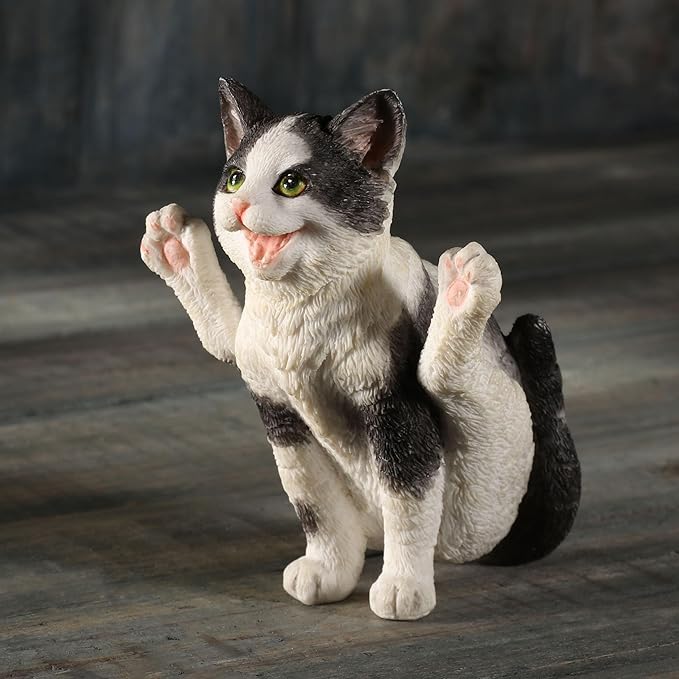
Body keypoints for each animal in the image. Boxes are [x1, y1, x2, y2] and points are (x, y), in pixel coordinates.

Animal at [141, 79, 580, 620]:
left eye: (291, 184)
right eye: (235, 178)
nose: (239, 208)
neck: (299, 310)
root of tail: (456, 554)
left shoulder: (393, 409)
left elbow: (409, 504)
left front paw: (402, 589)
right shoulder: (279, 410)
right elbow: (314, 503)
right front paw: (327, 571)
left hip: (490, 474)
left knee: (444, 381)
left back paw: (464, 286)